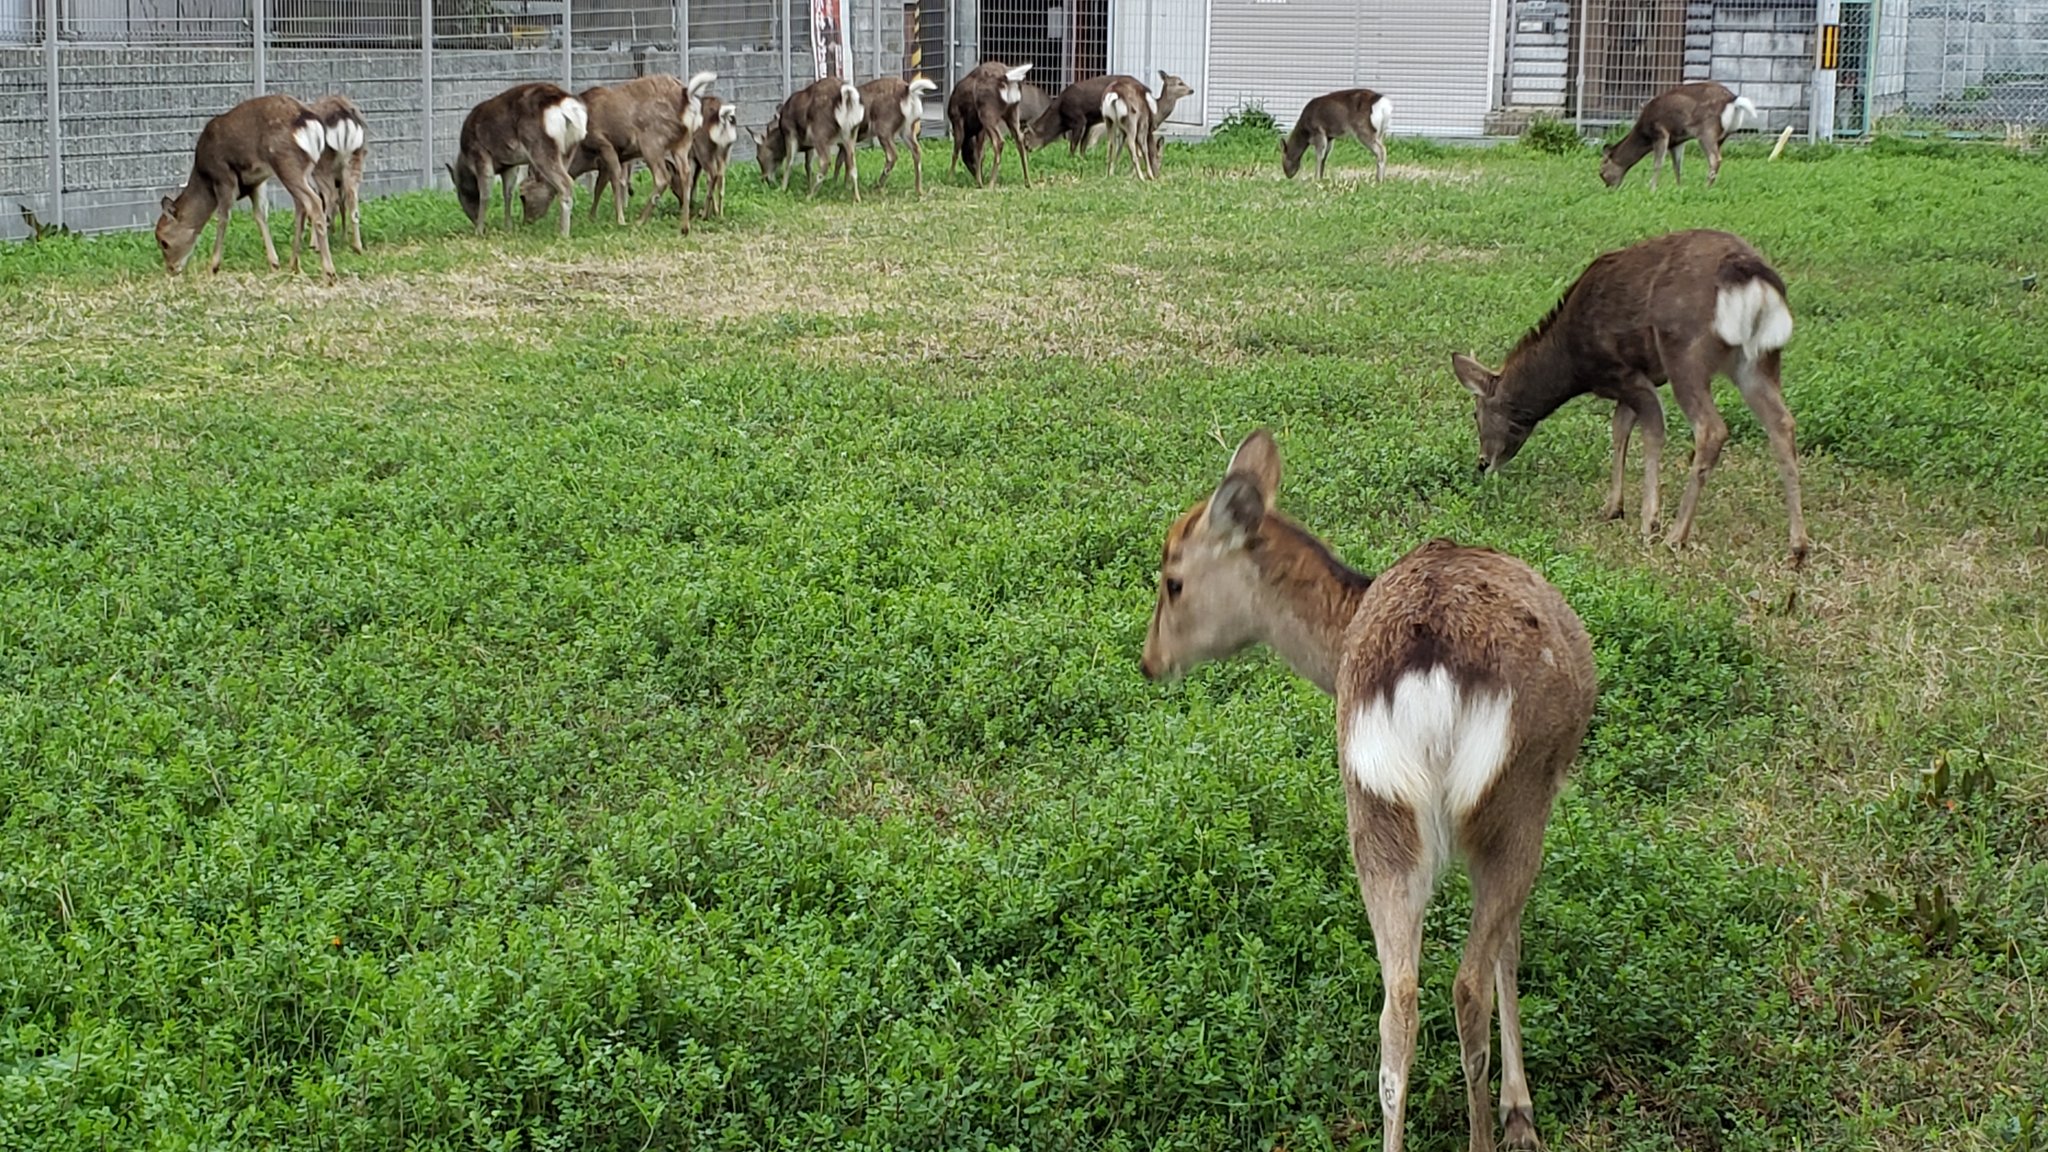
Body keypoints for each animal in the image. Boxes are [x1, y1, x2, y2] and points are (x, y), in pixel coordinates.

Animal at [153, 91, 337, 276]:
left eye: (163, 241)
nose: (171, 269)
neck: (204, 176)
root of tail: (309, 121)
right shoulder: (256, 182)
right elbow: (260, 215)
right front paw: (274, 264)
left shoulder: (224, 177)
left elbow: (223, 217)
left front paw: (213, 266)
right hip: (305, 168)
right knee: (303, 205)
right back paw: (294, 264)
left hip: (286, 162)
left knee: (314, 201)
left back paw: (329, 272)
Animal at [444, 81, 581, 236]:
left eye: (460, 193)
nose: (473, 218)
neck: (466, 159)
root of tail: (565, 105)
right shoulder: (510, 165)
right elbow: (508, 193)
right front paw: (508, 228)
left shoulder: (480, 154)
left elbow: (485, 195)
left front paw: (479, 231)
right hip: (569, 149)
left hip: (540, 147)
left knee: (566, 182)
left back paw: (563, 234)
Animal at [1138, 426, 1597, 1147]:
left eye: (1173, 581)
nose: (1148, 661)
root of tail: (1429, 673)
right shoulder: (1541, 796)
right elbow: (1511, 950)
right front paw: (1520, 1111)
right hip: (1511, 800)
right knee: (1465, 985)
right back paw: (1489, 1131)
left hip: (1374, 811)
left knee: (1397, 1002)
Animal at [1441, 227, 1810, 561]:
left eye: (1475, 413)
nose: (1482, 463)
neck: (1573, 364)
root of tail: (1751, 278)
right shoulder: (1637, 381)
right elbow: (1620, 430)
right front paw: (1613, 507)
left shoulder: (1627, 374)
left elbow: (1652, 431)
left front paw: (1649, 521)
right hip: (1759, 359)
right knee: (1782, 423)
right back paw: (1798, 545)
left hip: (1684, 353)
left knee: (1711, 429)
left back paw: (1676, 536)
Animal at [1597, 80, 1761, 189]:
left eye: (1601, 172)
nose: (1609, 187)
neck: (1644, 132)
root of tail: (1733, 100)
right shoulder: (1677, 141)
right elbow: (1678, 165)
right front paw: (1679, 186)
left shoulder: (1661, 132)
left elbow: (1658, 163)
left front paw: (1652, 187)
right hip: (1724, 135)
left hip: (1707, 131)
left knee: (1715, 159)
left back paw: (1705, 187)